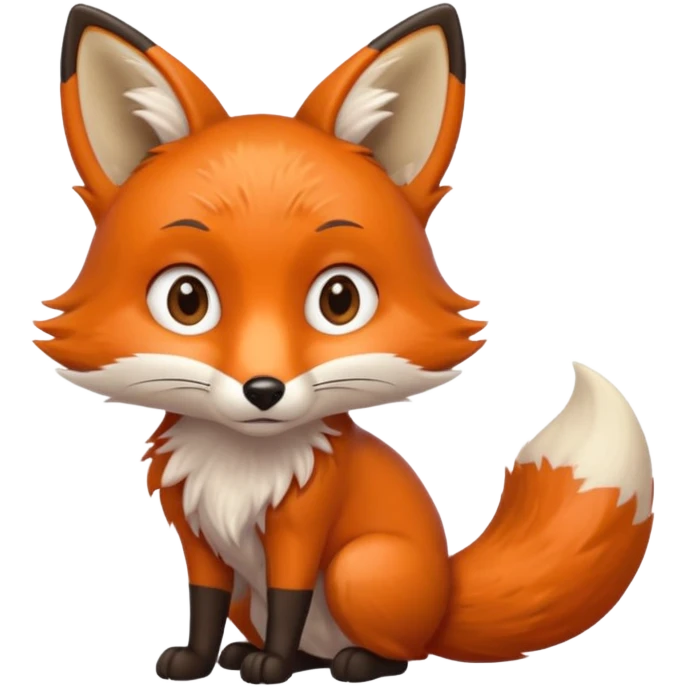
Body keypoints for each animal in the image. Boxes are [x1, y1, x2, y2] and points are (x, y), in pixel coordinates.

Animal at [39, 2, 655, 684]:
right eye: (186, 300)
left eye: (339, 300)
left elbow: (288, 598)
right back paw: (272, 654)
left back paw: (352, 661)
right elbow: (204, 603)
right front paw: (197, 660)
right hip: (269, 596)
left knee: (401, 650)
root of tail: (446, 596)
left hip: (361, 570)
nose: (263, 390)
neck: (242, 469)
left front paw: (273, 666)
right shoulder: (197, 534)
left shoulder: (302, 527)